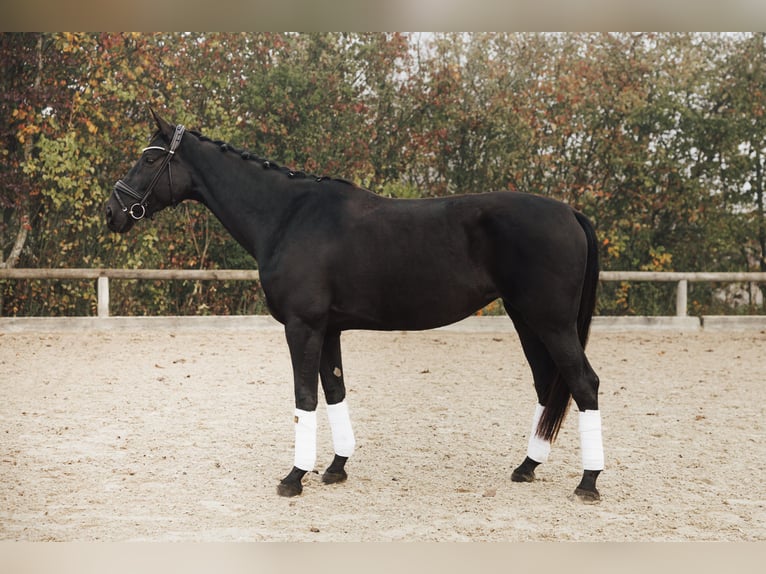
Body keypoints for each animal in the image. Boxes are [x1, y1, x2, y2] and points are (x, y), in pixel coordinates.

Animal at [106, 111, 608, 504]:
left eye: (150, 158)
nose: (113, 211)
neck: (288, 216)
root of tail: (570, 213)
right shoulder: (329, 329)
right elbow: (335, 391)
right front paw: (336, 467)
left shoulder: (302, 327)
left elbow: (305, 397)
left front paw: (294, 477)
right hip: (527, 320)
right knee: (547, 384)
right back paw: (527, 466)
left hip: (551, 322)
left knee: (583, 383)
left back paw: (588, 482)